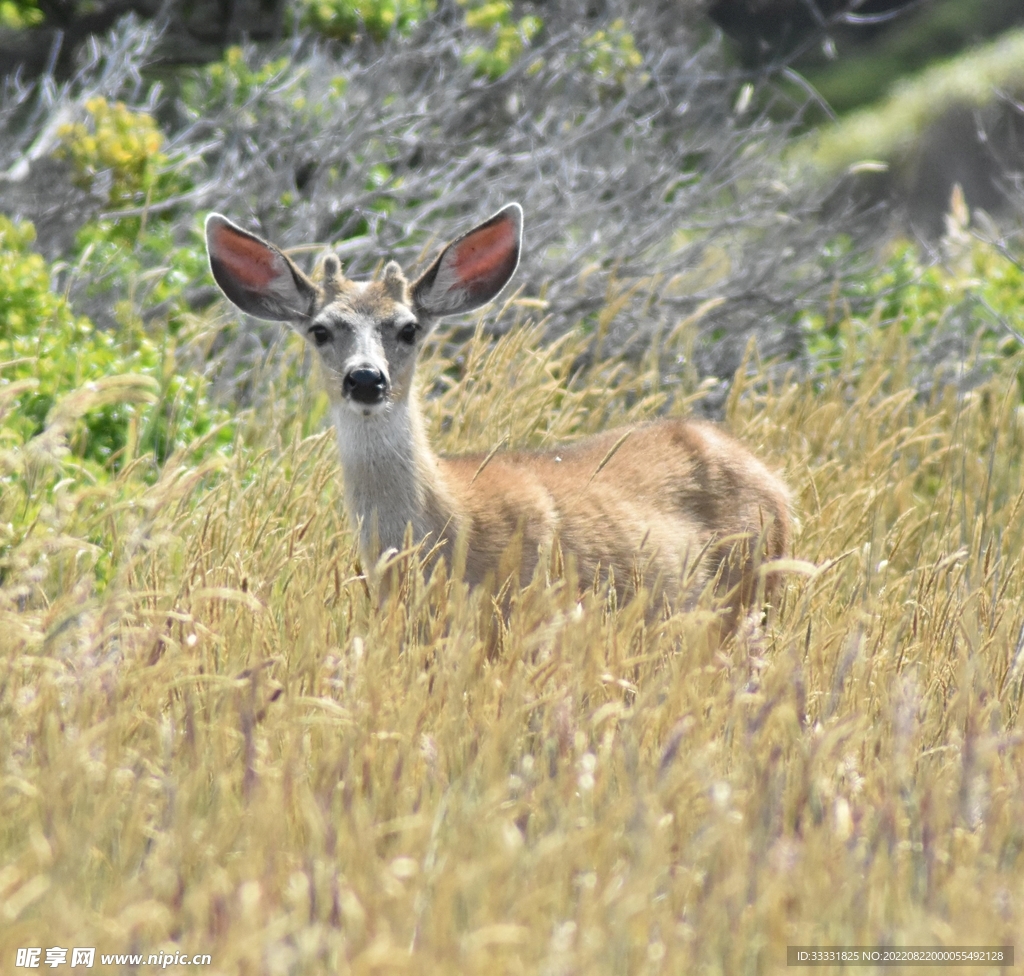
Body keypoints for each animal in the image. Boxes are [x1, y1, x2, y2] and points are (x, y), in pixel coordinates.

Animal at [205, 204, 791, 635]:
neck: (448, 527)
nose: (366, 379)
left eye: (409, 328)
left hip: (751, 594)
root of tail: (778, 482)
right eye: (321, 330)